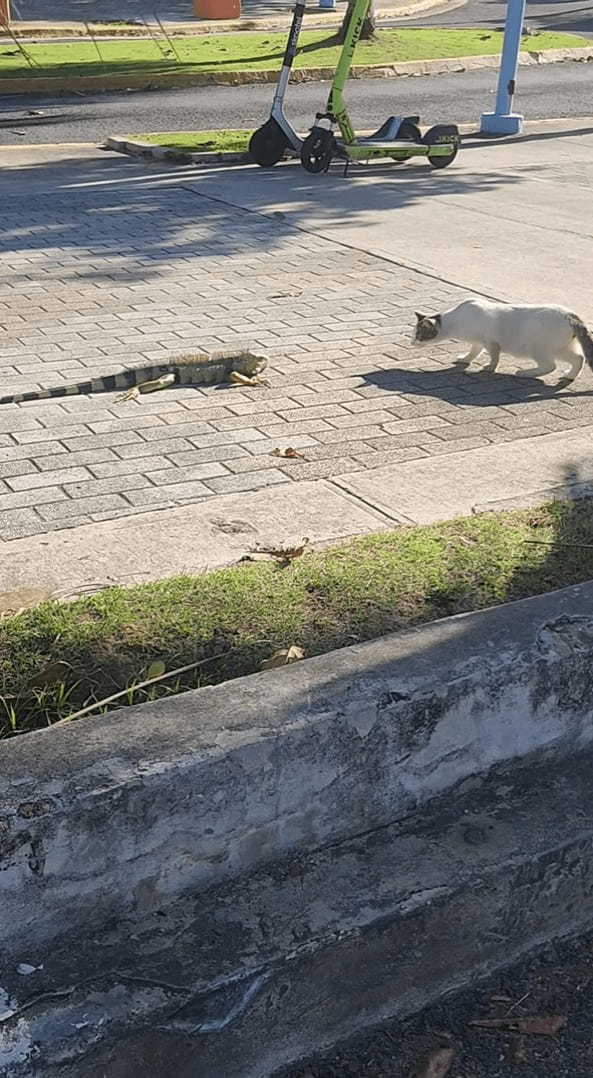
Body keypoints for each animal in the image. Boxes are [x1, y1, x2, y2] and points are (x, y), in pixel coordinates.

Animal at [414, 297, 593, 385]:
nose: (412, 343)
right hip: (562, 348)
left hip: (539, 348)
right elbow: (473, 352)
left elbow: (494, 358)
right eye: (413, 334)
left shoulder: (491, 343)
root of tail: (569, 314)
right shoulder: (478, 342)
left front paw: (489, 368)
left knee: (550, 366)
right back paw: (570, 376)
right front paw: (465, 359)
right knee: (579, 358)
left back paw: (524, 373)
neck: (457, 319)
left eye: (418, 335)